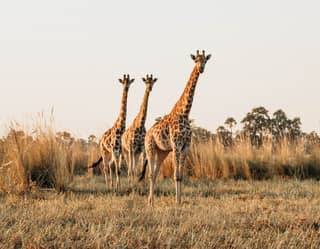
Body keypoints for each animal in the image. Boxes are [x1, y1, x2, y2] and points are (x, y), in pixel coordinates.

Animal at [142, 50, 210, 204]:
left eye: (205, 60)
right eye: (196, 60)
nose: (201, 69)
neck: (184, 113)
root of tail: (148, 133)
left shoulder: (185, 146)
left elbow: (180, 175)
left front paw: (179, 201)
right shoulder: (176, 146)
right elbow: (175, 175)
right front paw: (176, 201)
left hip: (162, 152)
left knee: (155, 173)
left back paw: (151, 201)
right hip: (150, 149)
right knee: (150, 174)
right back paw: (150, 201)